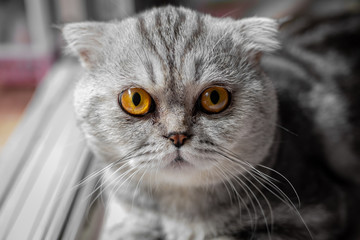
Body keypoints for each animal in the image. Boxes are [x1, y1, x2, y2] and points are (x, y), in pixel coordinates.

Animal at [62, 4, 360, 239]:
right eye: (135, 100)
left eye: (214, 98)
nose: (177, 135)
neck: (182, 215)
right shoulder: (129, 223)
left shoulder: (320, 211)